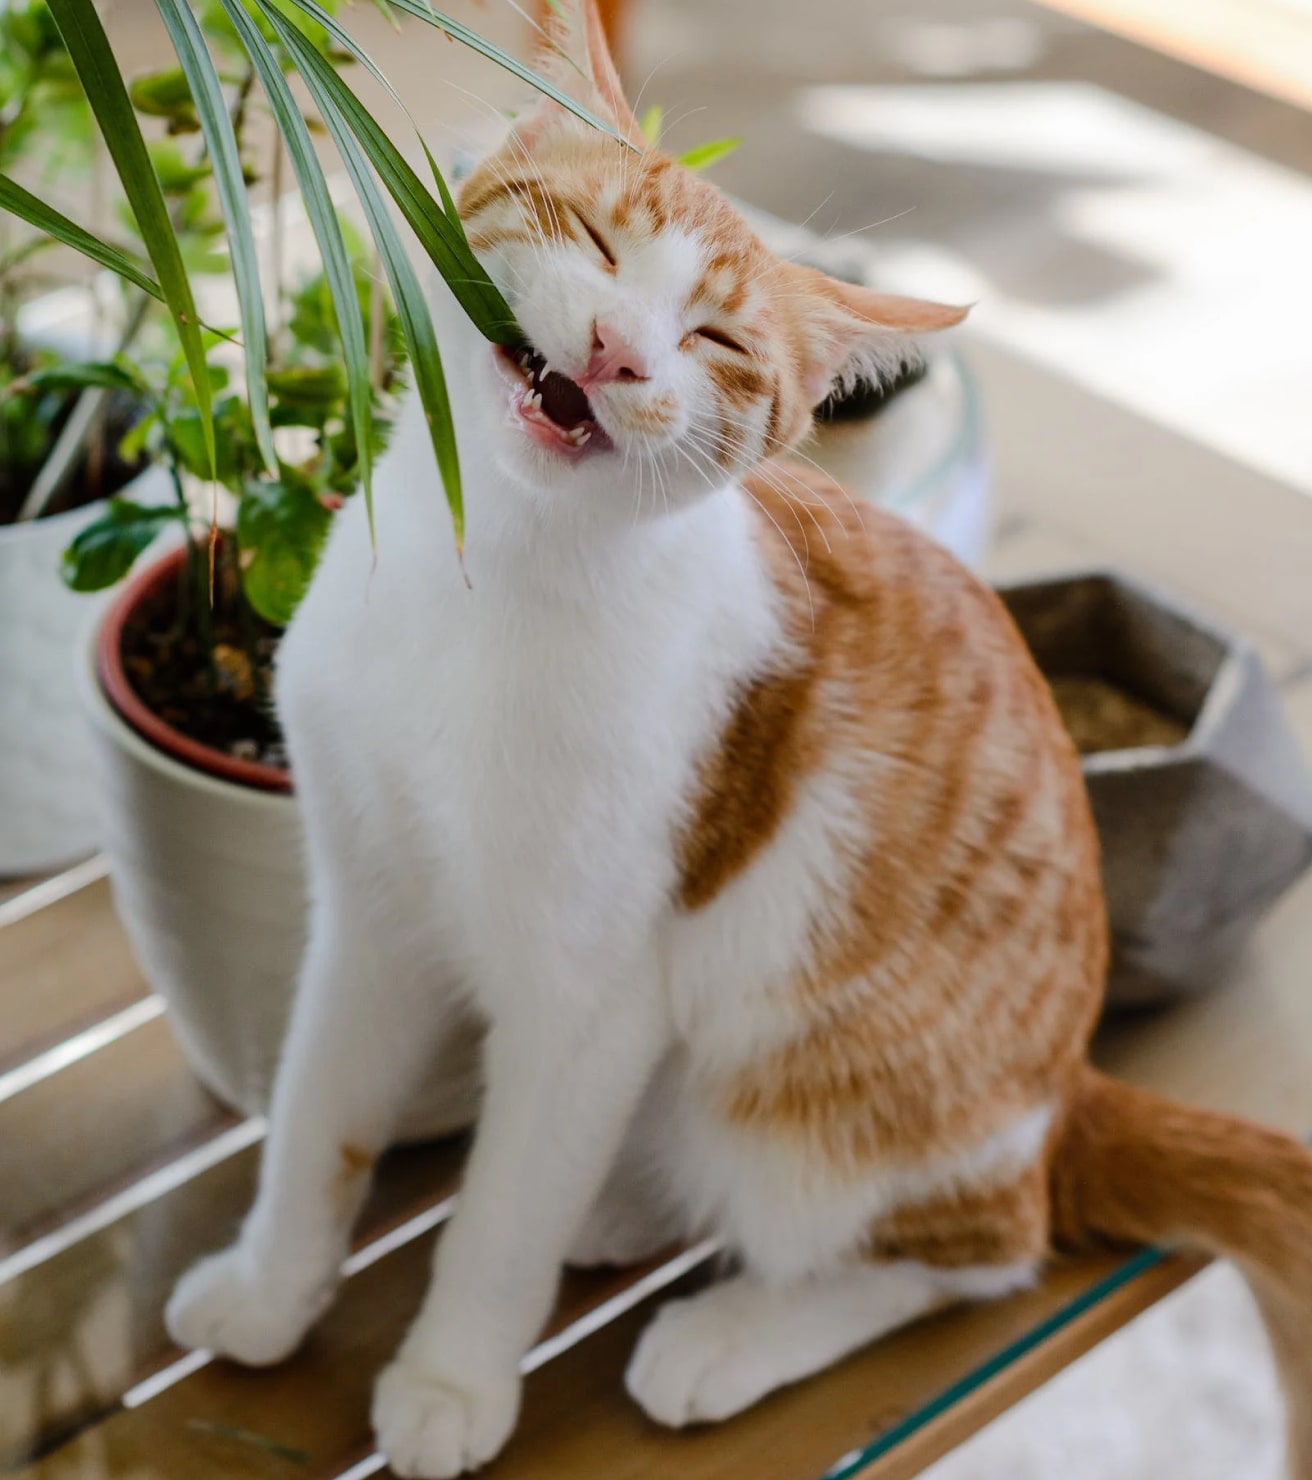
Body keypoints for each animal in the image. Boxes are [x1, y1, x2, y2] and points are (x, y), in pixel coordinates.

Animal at [165, 3, 1312, 1477]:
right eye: (594, 241)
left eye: (714, 339)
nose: (615, 353)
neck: (486, 582)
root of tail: (1069, 1091)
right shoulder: (366, 906)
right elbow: (320, 1120)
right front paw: (270, 1287)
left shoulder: (591, 989)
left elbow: (499, 1217)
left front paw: (452, 1377)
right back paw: (621, 1210)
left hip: (810, 1083)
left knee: (978, 1252)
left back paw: (728, 1332)